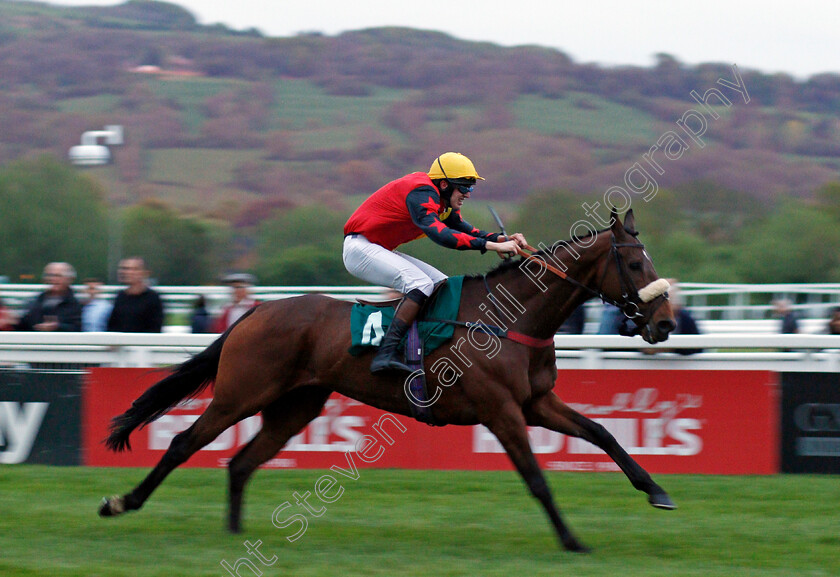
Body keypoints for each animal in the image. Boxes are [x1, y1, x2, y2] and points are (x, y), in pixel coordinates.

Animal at [98, 209, 676, 552]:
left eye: (649, 259)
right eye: (632, 263)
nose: (666, 322)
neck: (510, 319)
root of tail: (252, 312)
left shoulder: (536, 403)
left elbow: (602, 433)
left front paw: (656, 491)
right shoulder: (502, 411)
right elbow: (536, 477)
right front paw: (572, 539)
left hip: (295, 406)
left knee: (241, 462)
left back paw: (236, 532)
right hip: (241, 392)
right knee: (183, 441)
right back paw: (121, 502)